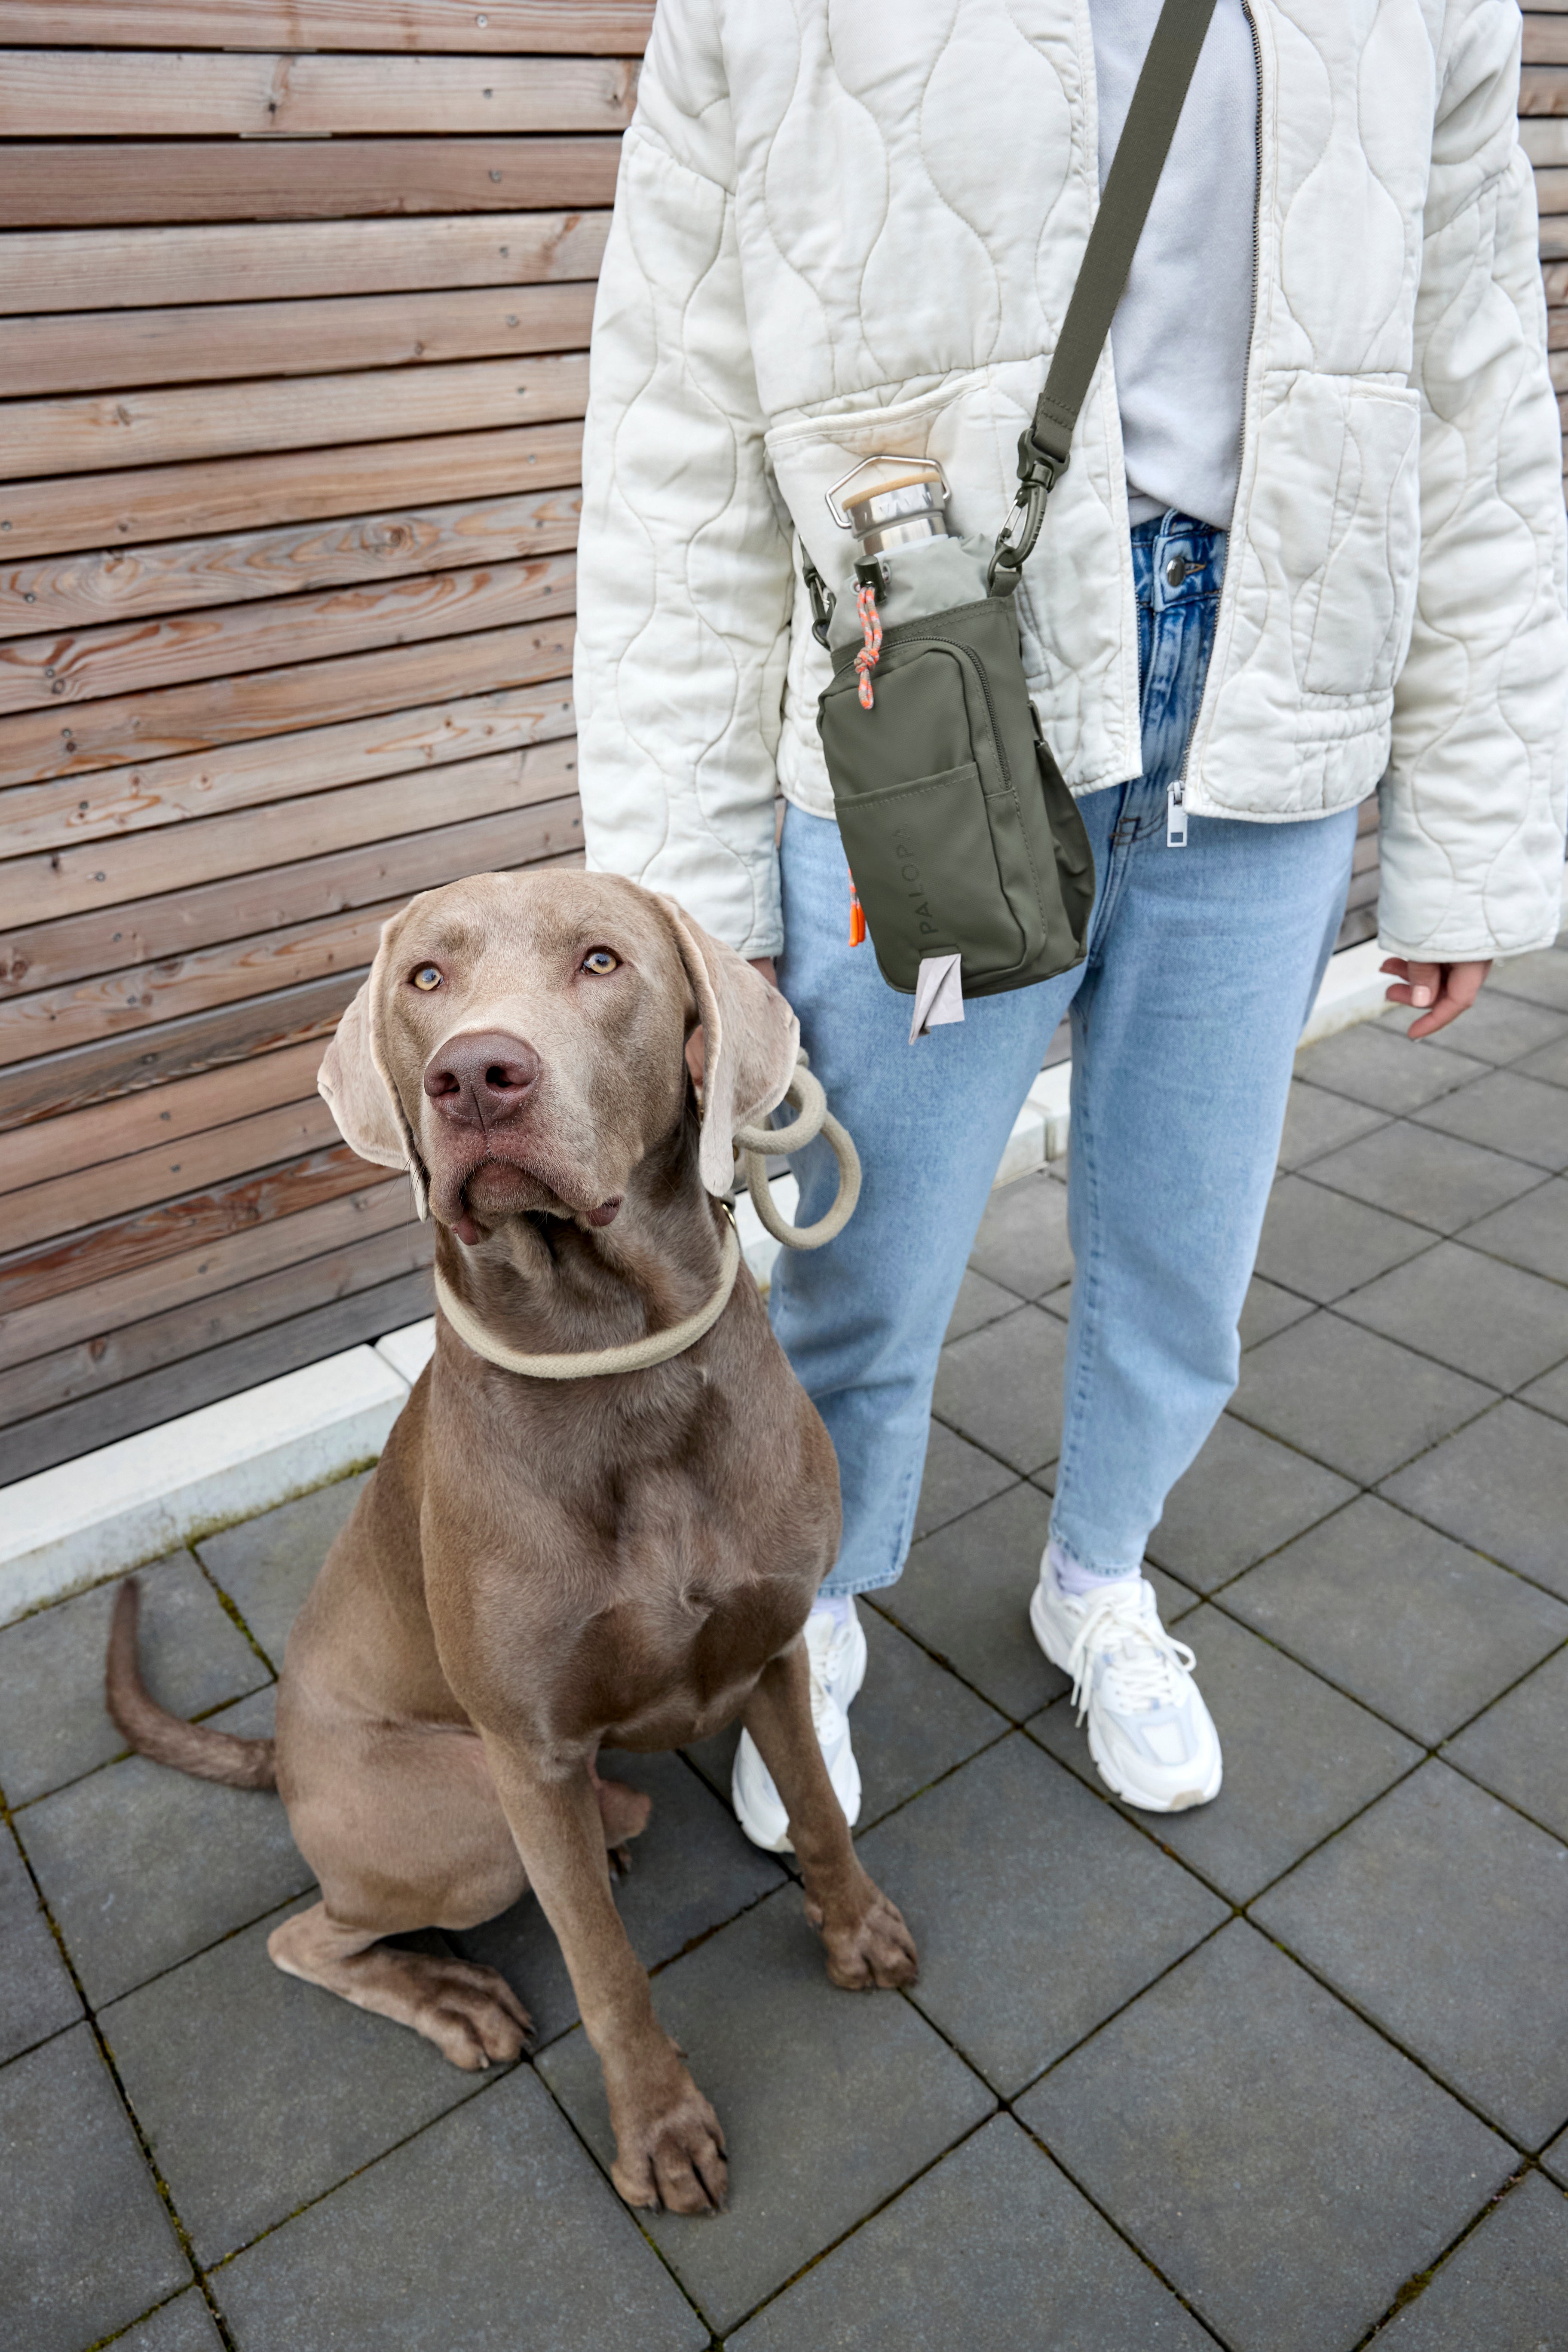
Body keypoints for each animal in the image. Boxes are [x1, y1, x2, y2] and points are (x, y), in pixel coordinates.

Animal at [107, 865, 921, 2201]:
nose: (475, 1075)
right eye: (425, 979)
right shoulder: (530, 1757)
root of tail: (284, 1752)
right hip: (467, 1817)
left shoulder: (772, 1645)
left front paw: (858, 1931)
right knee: (311, 1931)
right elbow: (603, 1963)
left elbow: (814, 1805)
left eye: (601, 961)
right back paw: (458, 1998)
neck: (617, 1362)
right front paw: (660, 2130)